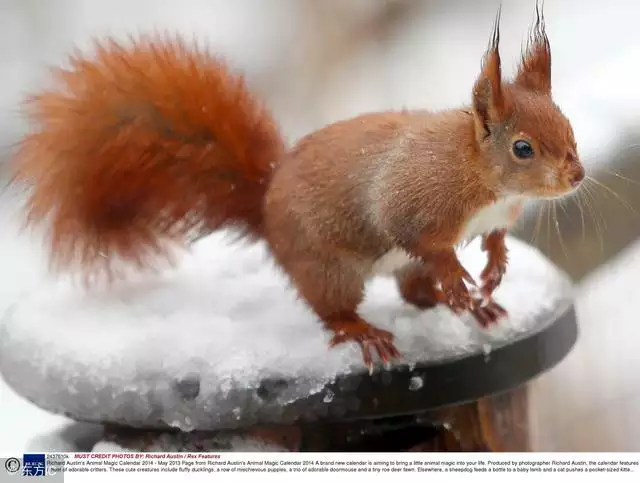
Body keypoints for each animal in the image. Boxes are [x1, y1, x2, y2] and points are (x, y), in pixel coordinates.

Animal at [10, 5, 584, 370]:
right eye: (523, 149)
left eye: (567, 125)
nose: (577, 176)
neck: (486, 181)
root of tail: (265, 211)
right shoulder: (416, 197)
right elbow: (419, 237)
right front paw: (460, 276)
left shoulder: (497, 216)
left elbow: (495, 237)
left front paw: (493, 268)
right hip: (329, 269)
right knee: (335, 310)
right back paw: (367, 330)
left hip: (390, 271)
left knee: (414, 294)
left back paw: (474, 307)